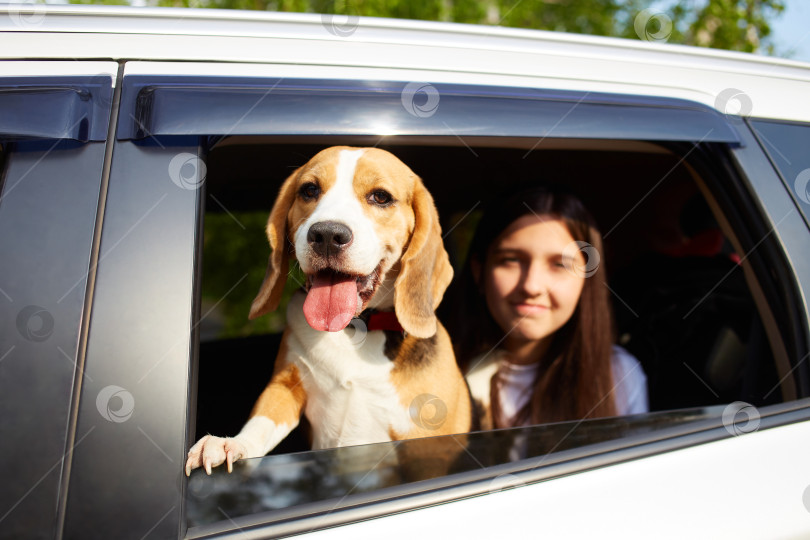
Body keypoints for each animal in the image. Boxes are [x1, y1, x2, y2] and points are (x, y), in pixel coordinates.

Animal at [186, 146, 470, 474]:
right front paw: (229, 444)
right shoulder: (285, 385)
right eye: (309, 190)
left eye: (381, 197)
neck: (355, 328)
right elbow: (261, 422)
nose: (327, 235)